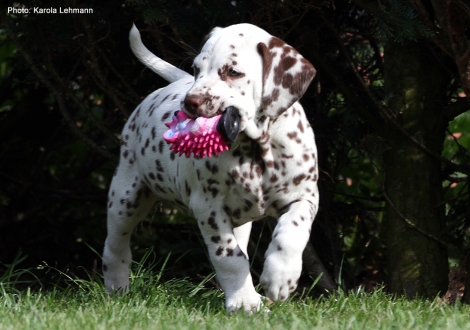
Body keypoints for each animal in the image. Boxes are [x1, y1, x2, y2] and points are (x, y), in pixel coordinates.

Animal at [101, 23, 318, 312]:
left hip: (240, 222)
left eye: (233, 72)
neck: (256, 148)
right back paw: (116, 289)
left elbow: (292, 230)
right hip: (126, 197)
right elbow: (229, 256)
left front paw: (280, 277)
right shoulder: (208, 208)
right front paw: (245, 302)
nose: (189, 102)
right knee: (115, 245)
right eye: (196, 69)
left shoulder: (305, 196)